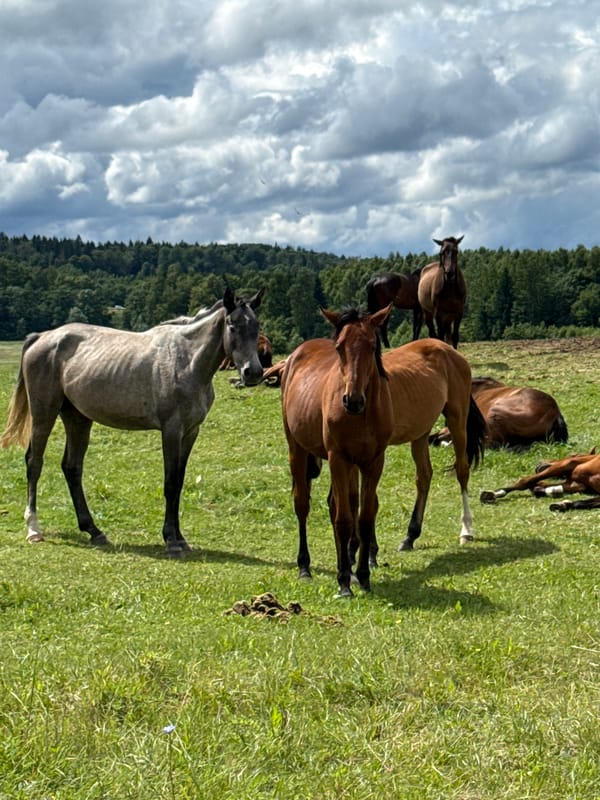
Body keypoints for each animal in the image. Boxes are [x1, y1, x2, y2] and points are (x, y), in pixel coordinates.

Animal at [0, 286, 264, 554]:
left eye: (256, 326)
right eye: (232, 325)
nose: (252, 373)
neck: (186, 361)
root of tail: (41, 337)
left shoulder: (191, 431)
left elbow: (179, 482)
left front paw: (180, 538)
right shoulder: (171, 430)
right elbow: (170, 483)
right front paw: (171, 540)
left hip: (78, 418)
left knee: (72, 467)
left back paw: (94, 530)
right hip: (44, 413)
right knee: (34, 462)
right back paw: (34, 528)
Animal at [281, 317, 486, 596]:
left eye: (371, 347)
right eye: (338, 348)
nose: (352, 400)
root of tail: (449, 351)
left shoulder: (369, 455)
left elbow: (363, 506)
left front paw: (361, 561)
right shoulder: (350, 457)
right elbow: (354, 504)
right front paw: (357, 559)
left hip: (457, 418)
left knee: (462, 470)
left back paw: (466, 530)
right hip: (419, 433)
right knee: (424, 476)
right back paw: (409, 536)